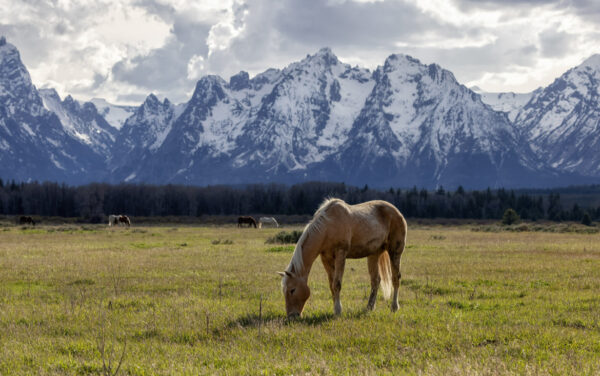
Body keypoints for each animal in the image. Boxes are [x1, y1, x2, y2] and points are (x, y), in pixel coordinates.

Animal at [280, 198, 408, 318]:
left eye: (292, 290)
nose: (292, 316)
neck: (328, 226)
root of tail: (397, 213)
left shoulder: (341, 254)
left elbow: (337, 284)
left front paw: (338, 311)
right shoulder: (326, 258)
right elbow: (331, 285)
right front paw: (335, 309)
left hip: (395, 251)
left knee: (396, 278)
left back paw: (394, 307)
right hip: (374, 254)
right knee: (375, 280)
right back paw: (369, 307)